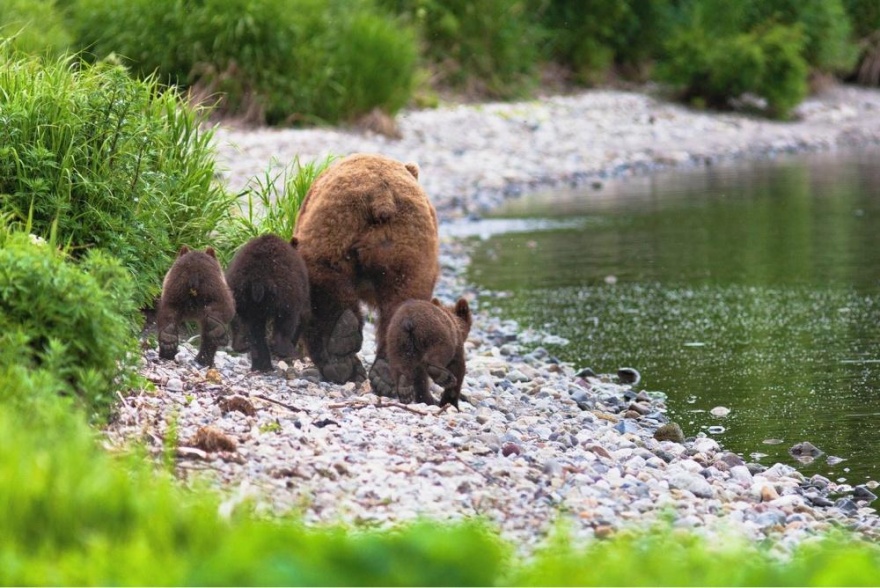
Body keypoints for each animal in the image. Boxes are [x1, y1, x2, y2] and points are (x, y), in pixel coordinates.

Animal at [294, 153, 440, 390]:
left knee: (323, 280)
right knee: (404, 297)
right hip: (410, 246)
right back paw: (386, 373)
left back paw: (339, 357)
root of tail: (382, 196)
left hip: (334, 226)